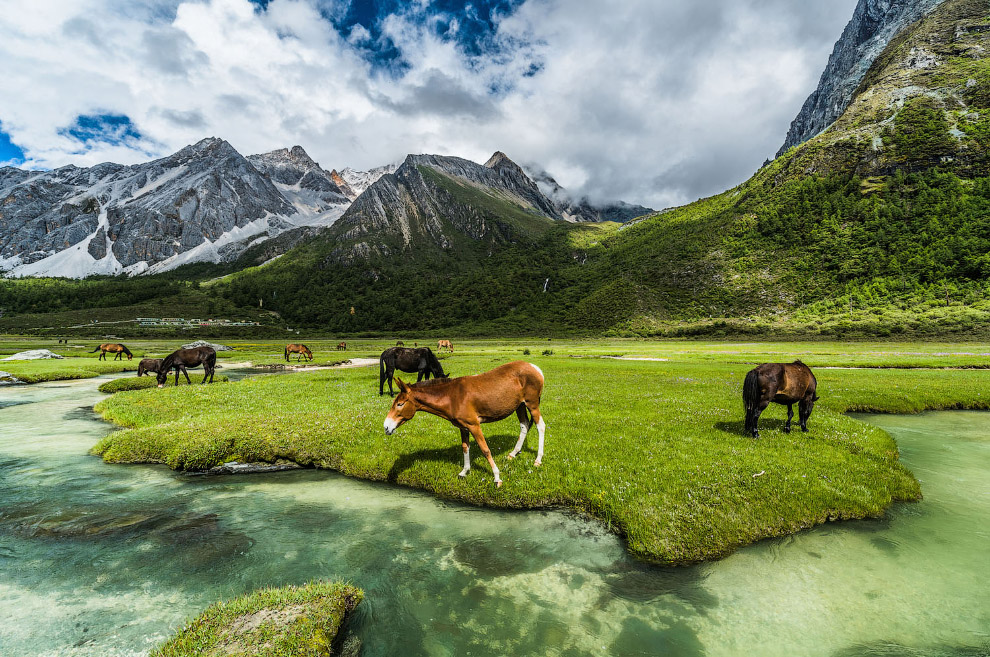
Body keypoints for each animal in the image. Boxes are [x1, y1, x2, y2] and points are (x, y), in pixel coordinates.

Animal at [384, 358, 548, 486]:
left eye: (400, 404)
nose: (386, 426)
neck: (451, 397)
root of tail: (535, 368)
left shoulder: (474, 425)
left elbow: (485, 449)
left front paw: (497, 477)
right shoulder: (463, 427)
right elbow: (465, 447)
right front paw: (464, 471)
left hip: (532, 404)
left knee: (540, 426)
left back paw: (538, 459)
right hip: (519, 406)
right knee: (524, 425)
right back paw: (513, 453)